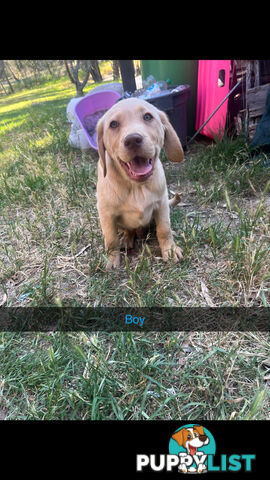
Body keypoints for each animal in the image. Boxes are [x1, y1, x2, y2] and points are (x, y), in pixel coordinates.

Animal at [95, 96, 184, 270]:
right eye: (113, 124)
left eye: (148, 117)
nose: (132, 140)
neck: (136, 187)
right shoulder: (105, 213)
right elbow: (110, 239)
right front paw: (111, 258)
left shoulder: (162, 204)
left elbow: (164, 229)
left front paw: (169, 249)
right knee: (126, 231)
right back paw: (126, 238)